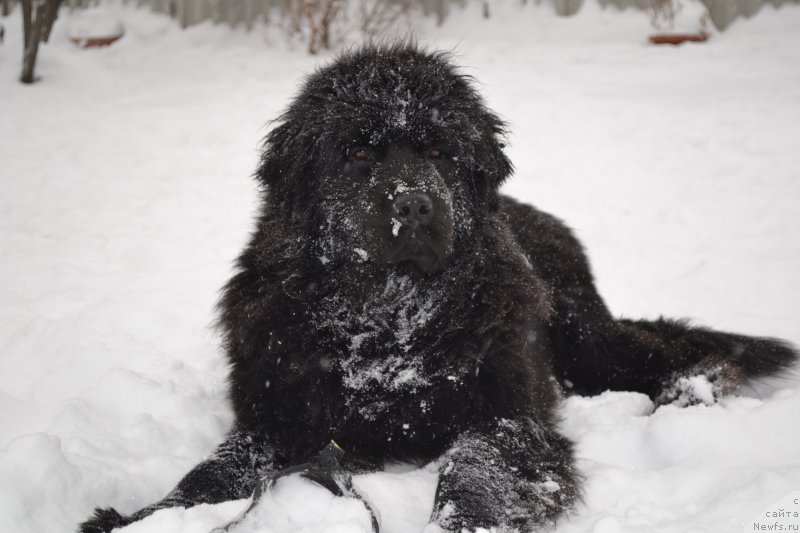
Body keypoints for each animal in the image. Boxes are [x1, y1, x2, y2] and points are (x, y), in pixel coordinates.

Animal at [78, 44, 796, 532]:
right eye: (359, 154)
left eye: (439, 153)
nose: (415, 204)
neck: (387, 325)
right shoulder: (278, 412)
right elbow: (217, 471)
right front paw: (147, 518)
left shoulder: (508, 413)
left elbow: (474, 466)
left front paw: (466, 520)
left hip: (581, 336)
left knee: (661, 353)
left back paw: (694, 389)